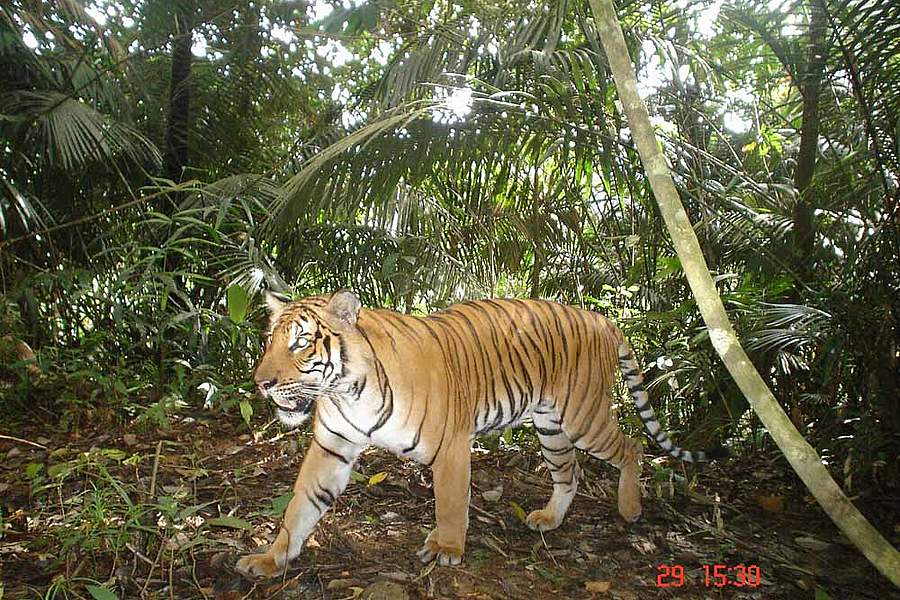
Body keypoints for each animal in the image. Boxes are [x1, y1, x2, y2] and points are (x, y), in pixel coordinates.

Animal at [236, 290, 728, 576]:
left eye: (301, 343)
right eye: (269, 341)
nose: (261, 383)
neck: (346, 390)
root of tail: (600, 318)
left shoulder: (451, 446)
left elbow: (451, 503)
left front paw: (447, 548)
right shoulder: (332, 448)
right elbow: (301, 506)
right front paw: (273, 557)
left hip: (583, 418)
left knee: (633, 446)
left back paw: (630, 509)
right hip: (550, 428)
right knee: (570, 474)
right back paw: (549, 519)